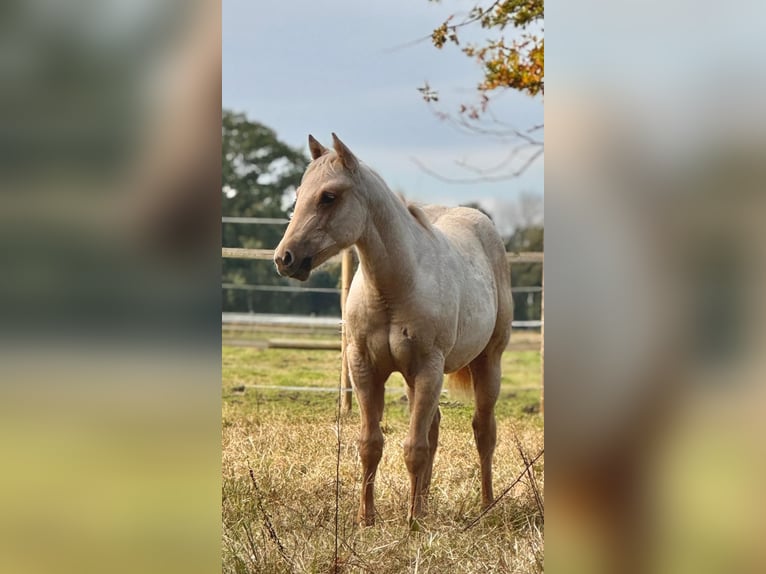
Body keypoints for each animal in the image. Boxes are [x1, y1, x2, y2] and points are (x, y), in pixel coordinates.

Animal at [274, 134, 512, 526]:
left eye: (329, 196)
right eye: (299, 194)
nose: (285, 258)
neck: (395, 287)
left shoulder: (429, 368)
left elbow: (414, 447)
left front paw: (412, 524)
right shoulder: (365, 367)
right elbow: (372, 444)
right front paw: (366, 518)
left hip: (486, 362)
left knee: (483, 431)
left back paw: (486, 506)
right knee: (434, 428)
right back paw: (426, 505)